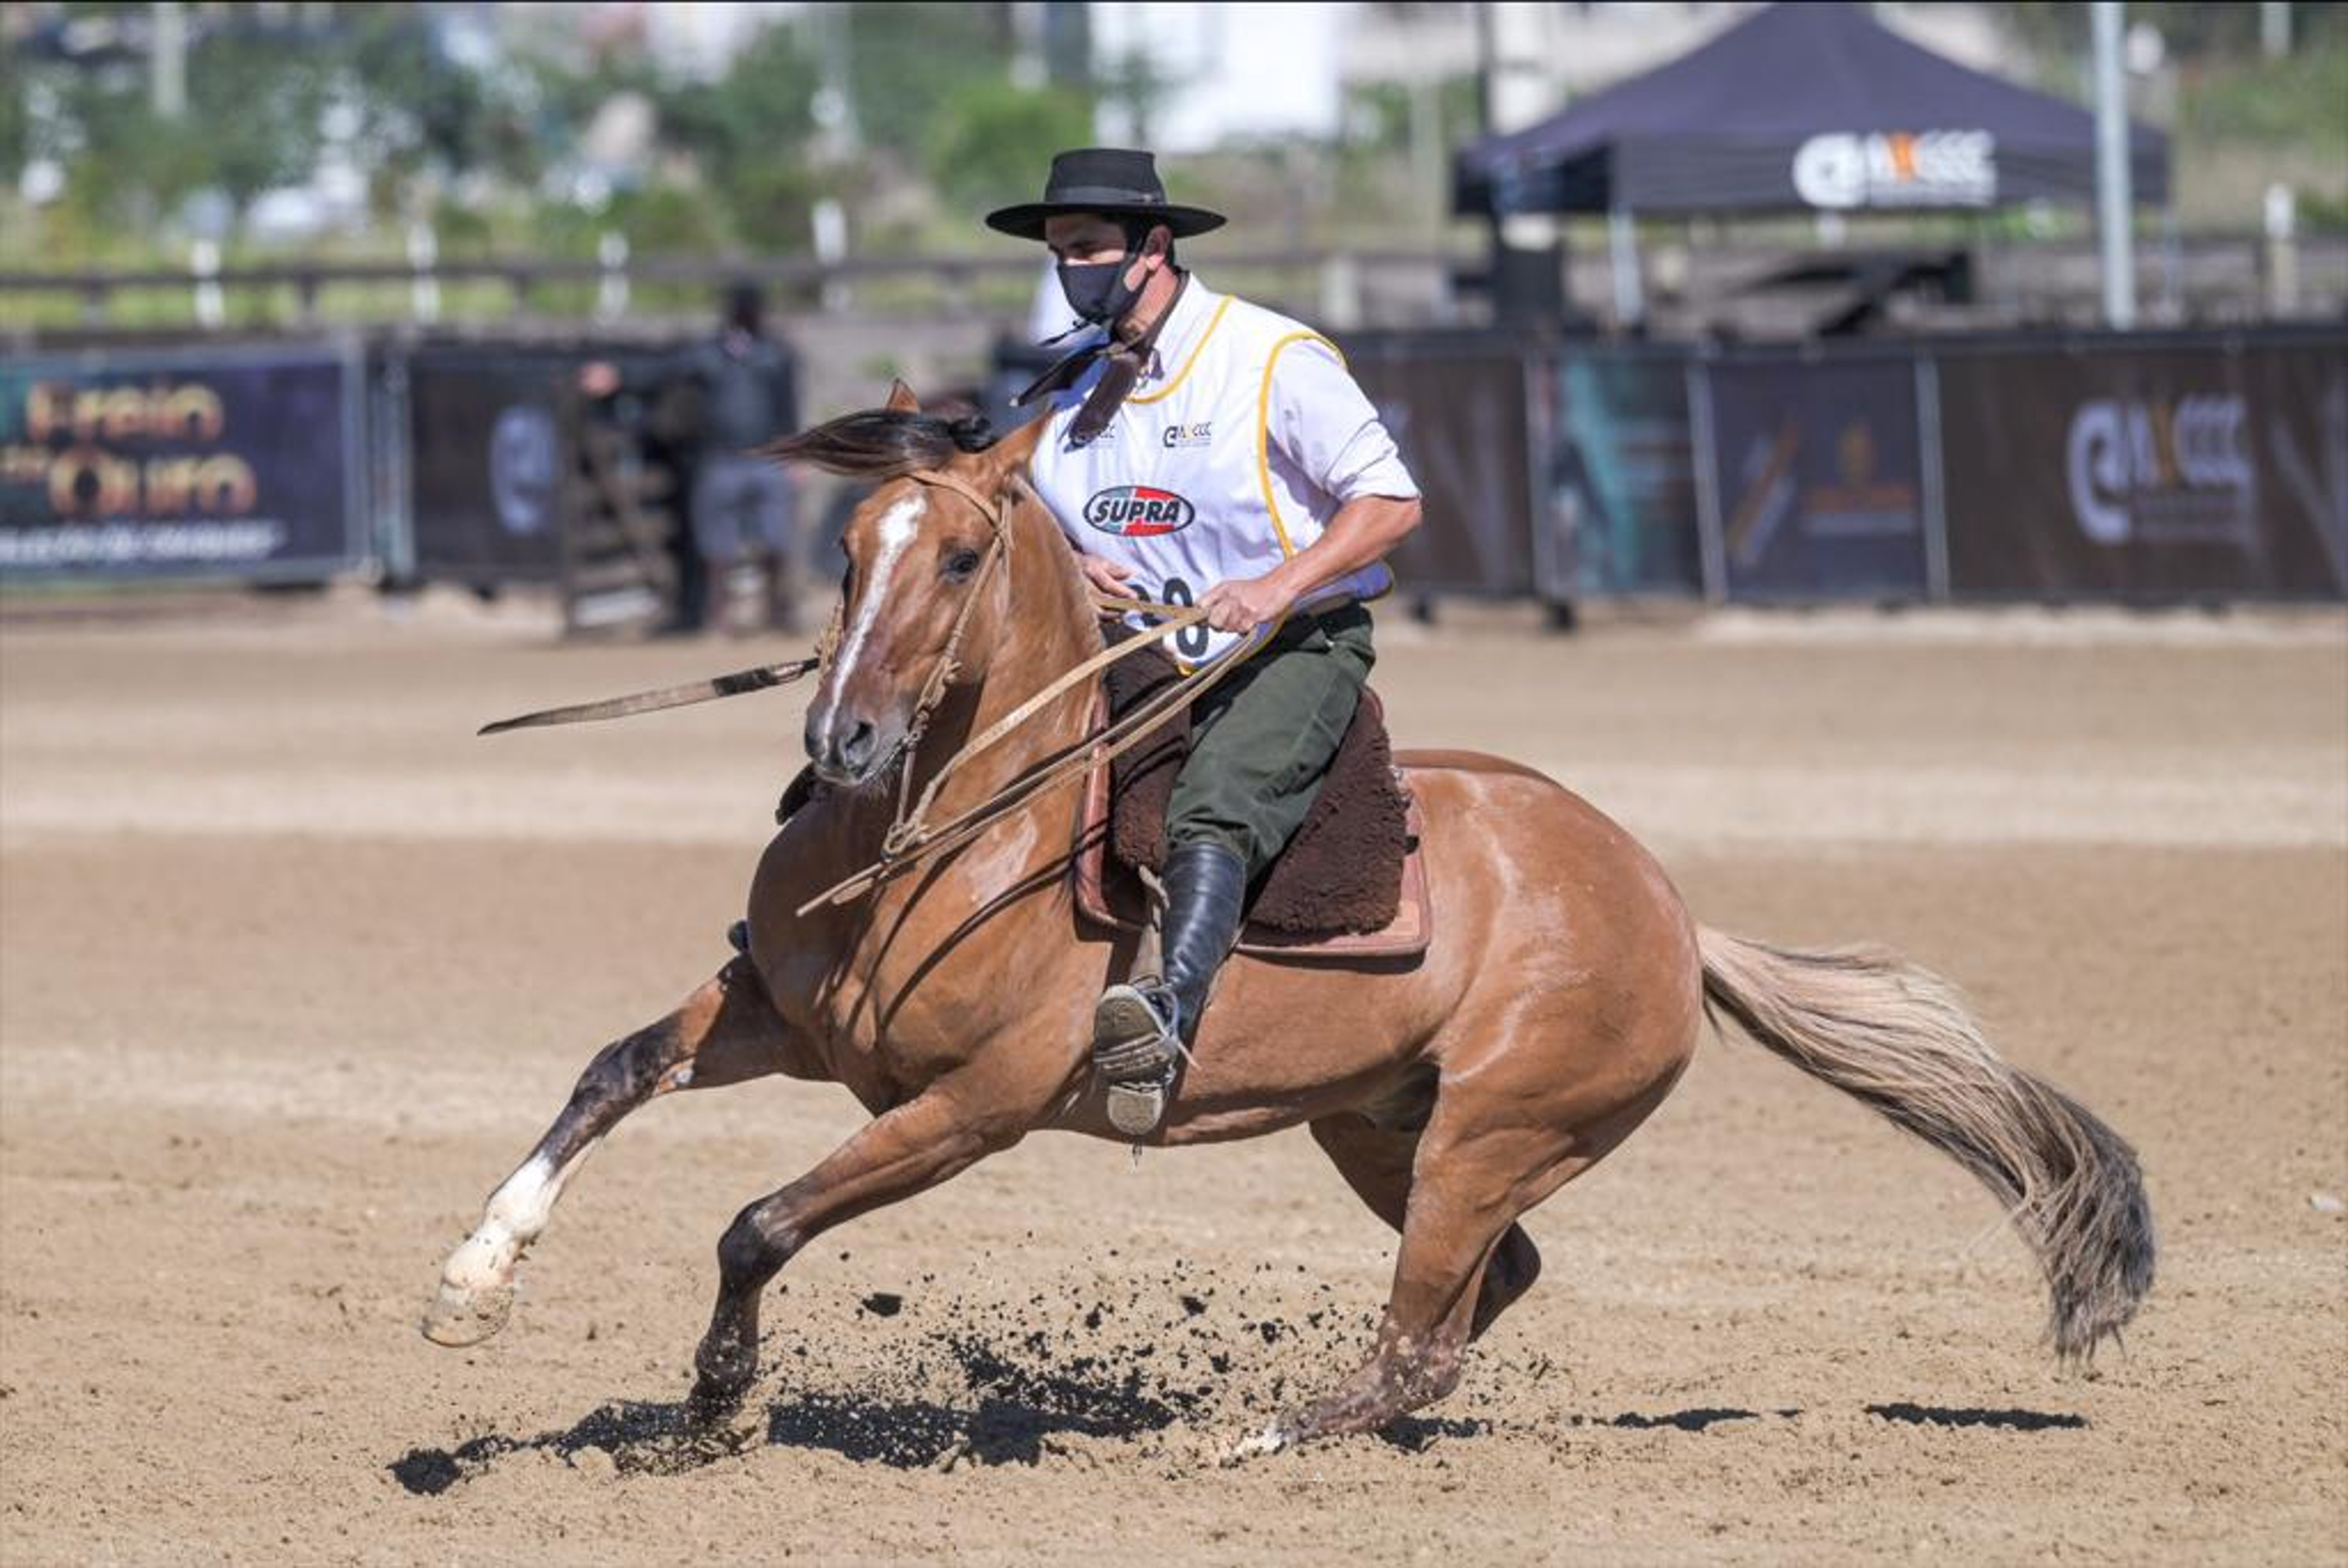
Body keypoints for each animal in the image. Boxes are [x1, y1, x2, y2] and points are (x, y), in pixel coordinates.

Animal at [423, 392, 2151, 1455]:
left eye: (963, 554)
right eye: (849, 552)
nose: (838, 742)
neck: (954, 830)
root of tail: (1675, 909)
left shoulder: (969, 1109)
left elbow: (758, 1222)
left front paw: (716, 1404)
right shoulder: (779, 1020)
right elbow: (610, 1072)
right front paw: (474, 1275)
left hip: (1492, 1132)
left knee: (1424, 1330)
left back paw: (1260, 1435)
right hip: (1380, 1127)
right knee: (1483, 1295)